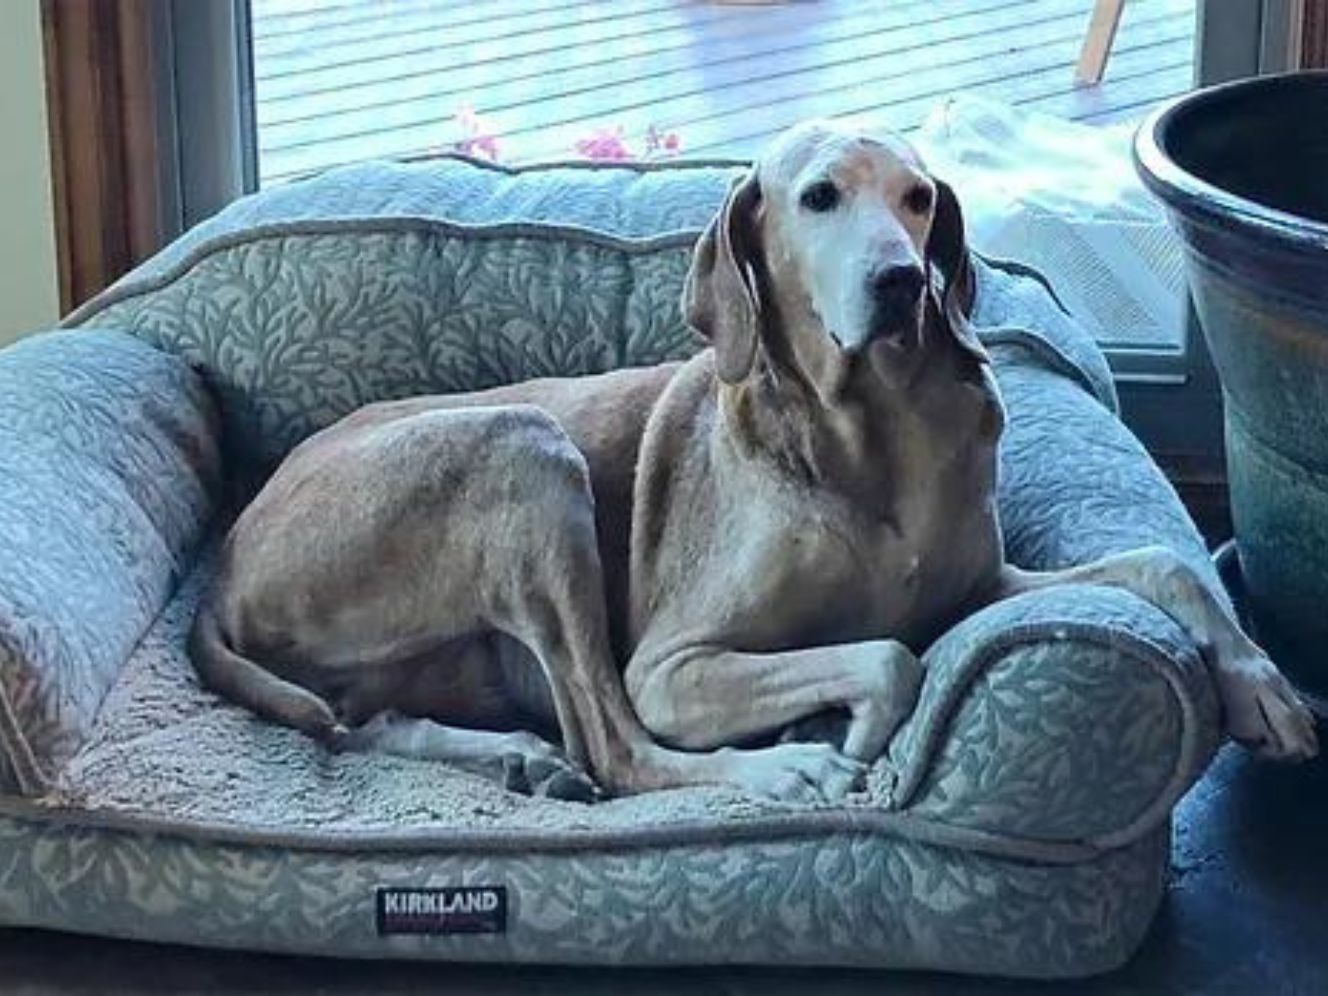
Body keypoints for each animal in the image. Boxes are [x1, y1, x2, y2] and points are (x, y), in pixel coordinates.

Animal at [187, 120, 1317, 802]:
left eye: (919, 198)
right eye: (819, 198)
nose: (902, 282)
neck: (871, 438)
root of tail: (225, 566)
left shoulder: (978, 584)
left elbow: (1161, 565)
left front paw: (1262, 686)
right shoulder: (672, 665)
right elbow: (888, 657)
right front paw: (836, 742)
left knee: (361, 723)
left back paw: (514, 756)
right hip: (524, 449)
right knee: (612, 742)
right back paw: (772, 774)